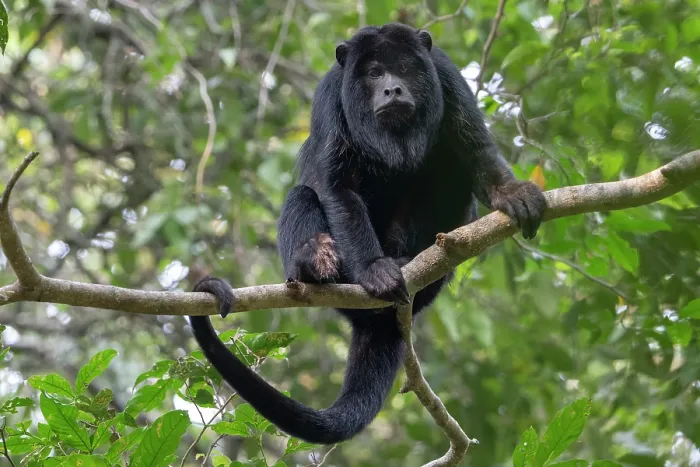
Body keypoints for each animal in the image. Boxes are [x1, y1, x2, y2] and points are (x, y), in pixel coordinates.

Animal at [188, 23, 546, 445]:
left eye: (405, 68)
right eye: (374, 73)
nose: (393, 89)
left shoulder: (447, 76)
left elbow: (475, 151)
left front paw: (512, 193)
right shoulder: (331, 96)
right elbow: (338, 188)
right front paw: (374, 269)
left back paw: (409, 259)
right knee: (301, 194)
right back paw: (313, 263)